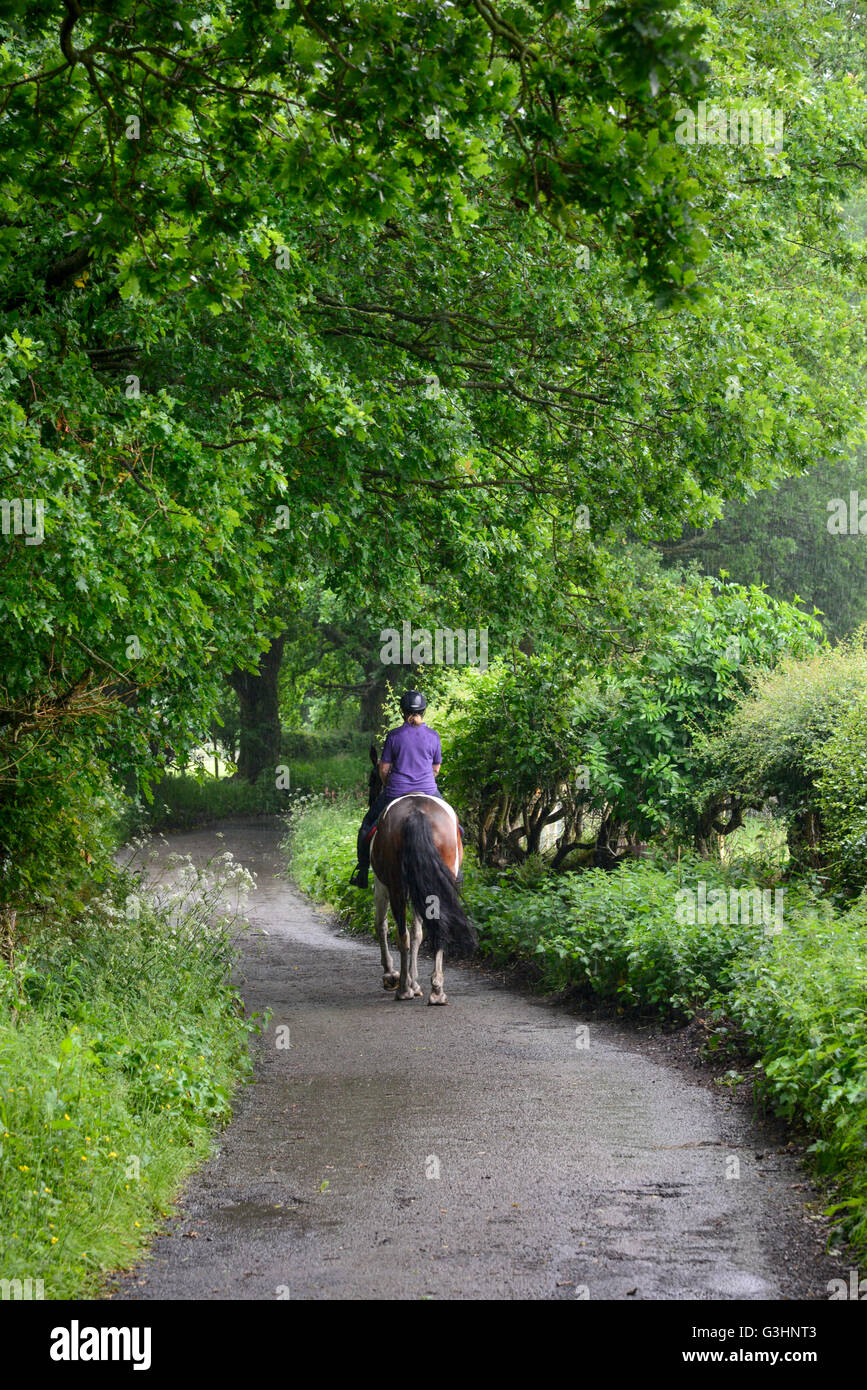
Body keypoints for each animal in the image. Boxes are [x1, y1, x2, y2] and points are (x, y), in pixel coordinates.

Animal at [369, 790, 477, 1005]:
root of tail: (416, 813)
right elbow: (417, 934)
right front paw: (415, 983)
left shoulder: (381, 886)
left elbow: (382, 925)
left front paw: (392, 976)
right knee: (438, 927)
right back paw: (436, 990)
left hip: (397, 889)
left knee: (402, 935)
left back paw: (403, 989)